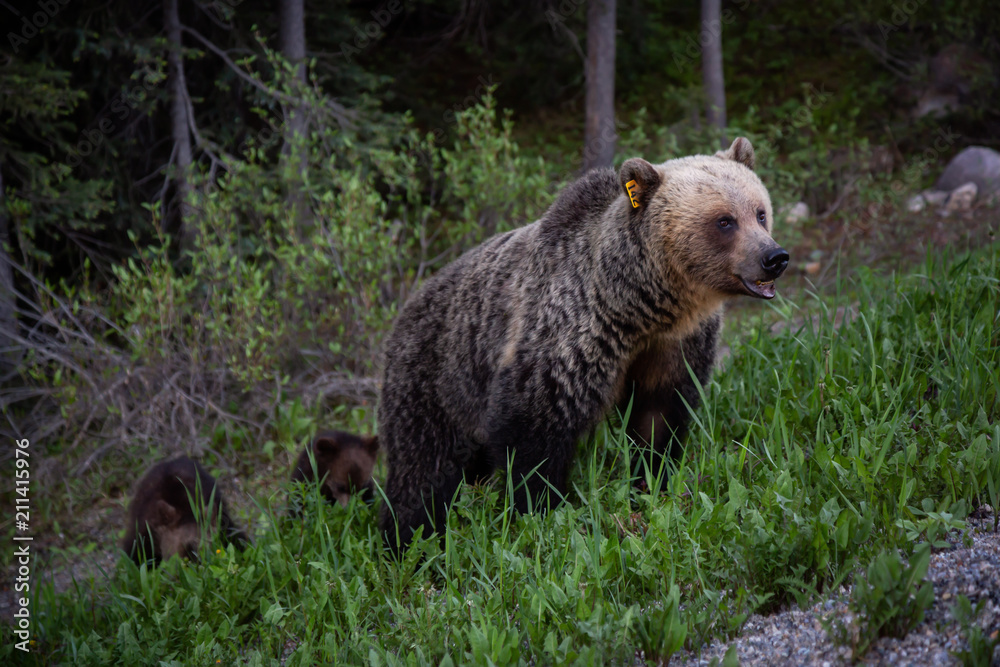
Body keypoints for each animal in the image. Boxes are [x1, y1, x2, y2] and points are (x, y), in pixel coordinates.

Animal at [378, 137, 788, 553]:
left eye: (759, 213)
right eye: (724, 221)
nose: (774, 257)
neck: (640, 308)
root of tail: (407, 307)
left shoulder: (674, 346)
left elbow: (659, 417)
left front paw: (651, 481)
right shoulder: (567, 337)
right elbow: (535, 430)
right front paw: (536, 512)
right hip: (436, 379)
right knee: (423, 469)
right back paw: (406, 539)